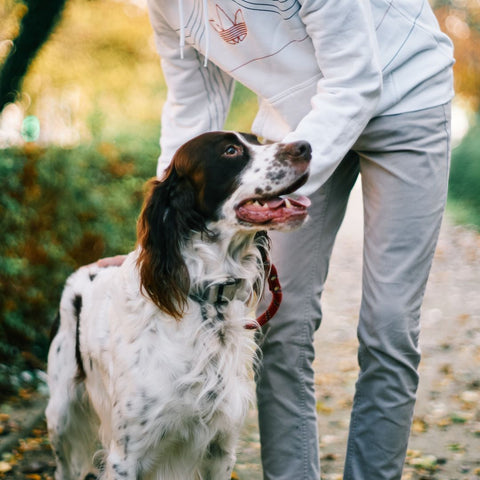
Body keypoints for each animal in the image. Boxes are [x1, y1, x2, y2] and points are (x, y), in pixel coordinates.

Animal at [46, 131, 312, 480]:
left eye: (258, 139)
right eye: (230, 150)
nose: (306, 147)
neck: (208, 302)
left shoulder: (221, 448)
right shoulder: (125, 456)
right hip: (60, 417)